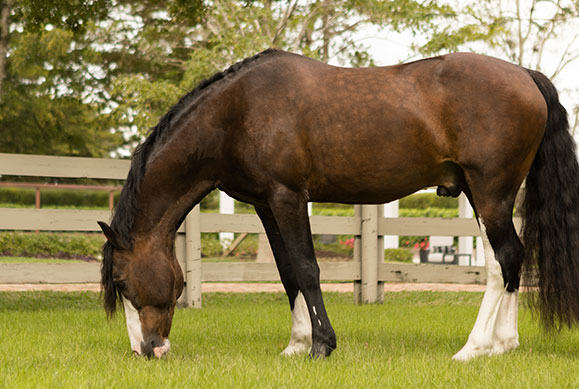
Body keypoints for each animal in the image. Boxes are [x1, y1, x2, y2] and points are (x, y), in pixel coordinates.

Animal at [97, 48, 579, 358]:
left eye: (121, 282)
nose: (146, 350)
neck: (239, 111)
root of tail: (525, 75)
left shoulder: (289, 196)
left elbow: (307, 269)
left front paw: (320, 345)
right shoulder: (265, 205)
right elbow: (287, 271)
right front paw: (295, 344)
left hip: (491, 194)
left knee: (505, 258)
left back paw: (475, 348)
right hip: (484, 197)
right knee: (509, 262)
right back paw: (502, 345)